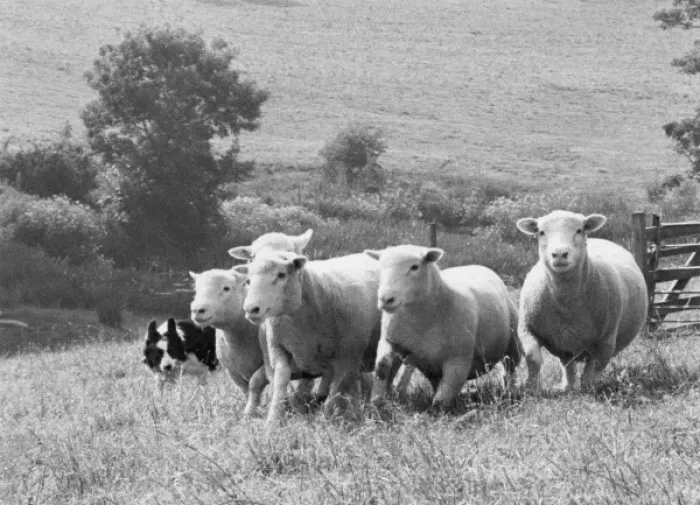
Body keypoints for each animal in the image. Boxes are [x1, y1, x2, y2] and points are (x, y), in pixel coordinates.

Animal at [238, 250, 386, 424]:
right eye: (248, 280)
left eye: (281, 274)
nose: (251, 309)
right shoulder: (278, 349)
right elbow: (280, 383)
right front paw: (273, 421)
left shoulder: (347, 359)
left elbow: (335, 393)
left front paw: (330, 422)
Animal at [364, 245, 521, 409]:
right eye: (380, 268)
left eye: (415, 267)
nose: (385, 299)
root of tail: (477, 266)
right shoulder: (391, 339)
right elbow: (382, 363)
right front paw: (377, 398)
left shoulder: (458, 360)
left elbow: (440, 401)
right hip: (433, 365)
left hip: (513, 343)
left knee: (510, 369)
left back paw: (511, 393)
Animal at [516, 210, 648, 393]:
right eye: (541, 232)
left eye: (579, 230)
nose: (559, 254)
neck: (566, 303)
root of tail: (597, 239)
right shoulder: (527, 328)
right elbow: (532, 357)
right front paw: (530, 387)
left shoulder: (605, 340)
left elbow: (592, 370)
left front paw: (588, 390)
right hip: (565, 345)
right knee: (568, 365)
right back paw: (566, 387)